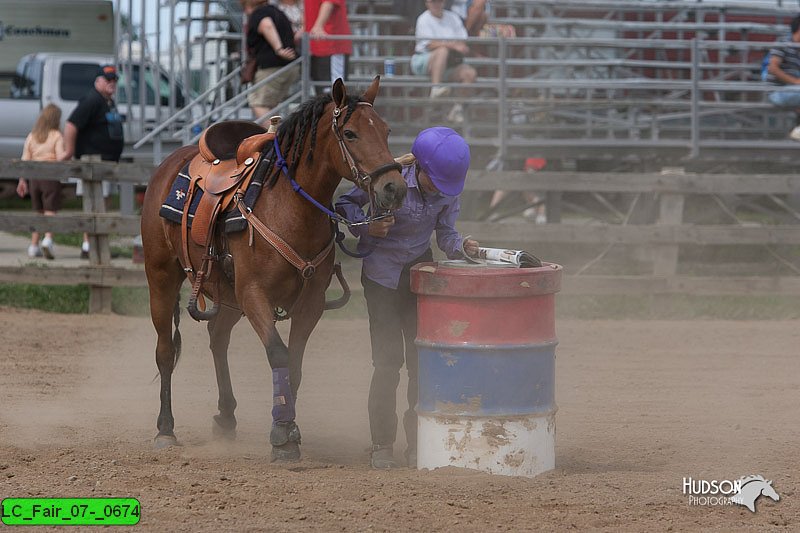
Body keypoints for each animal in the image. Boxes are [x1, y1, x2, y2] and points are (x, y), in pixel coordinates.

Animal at [139, 77, 406, 460]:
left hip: (228, 293)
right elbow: (277, 353)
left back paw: (226, 416)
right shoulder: (255, 295)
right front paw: (282, 434)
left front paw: (289, 426)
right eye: (351, 133)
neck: (289, 208)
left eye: (386, 131)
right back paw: (165, 429)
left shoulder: (310, 303)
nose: (394, 188)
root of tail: (172, 161)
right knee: (164, 351)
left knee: (217, 338)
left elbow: (293, 364)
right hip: (161, 276)